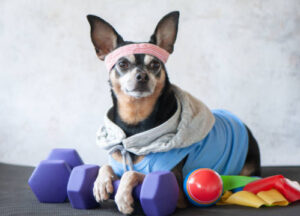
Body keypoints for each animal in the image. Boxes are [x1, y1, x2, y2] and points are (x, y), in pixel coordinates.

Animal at [86, 11, 260, 214]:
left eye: (155, 64)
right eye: (122, 63)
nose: (142, 76)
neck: (135, 123)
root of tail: (242, 124)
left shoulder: (177, 189)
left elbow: (134, 173)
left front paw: (122, 196)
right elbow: (105, 166)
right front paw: (101, 182)